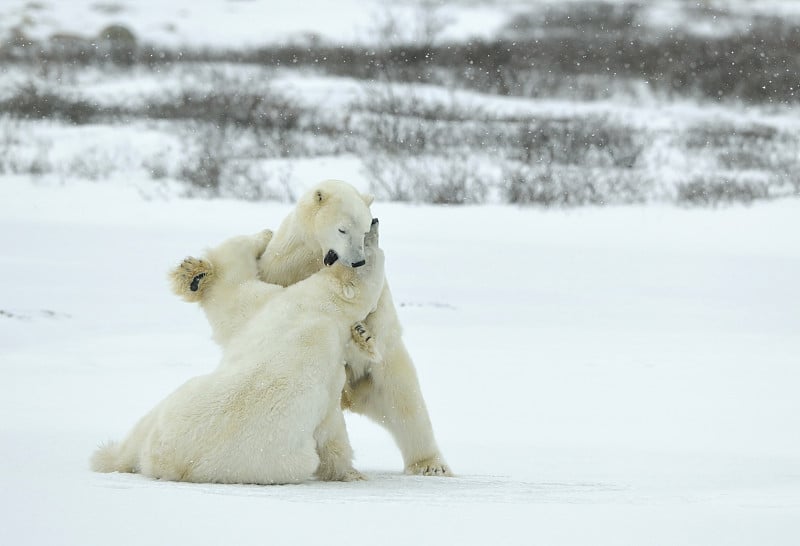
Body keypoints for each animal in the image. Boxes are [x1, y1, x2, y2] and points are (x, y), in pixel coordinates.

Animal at [90, 219, 384, 482]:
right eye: (365, 251)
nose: (375, 222)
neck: (323, 306)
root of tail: (160, 460)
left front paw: (364, 336)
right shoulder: (296, 313)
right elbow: (331, 430)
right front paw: (351, 473)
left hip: (174, 404)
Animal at [260, 177, 454, 472]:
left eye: (364, 231)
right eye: (342, 229)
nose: (358, 260)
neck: (316, 258)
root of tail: (353, 397)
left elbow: (373, 309)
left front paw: (361, 333)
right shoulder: (285, 264)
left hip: (385, 373)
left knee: (408, 407)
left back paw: (431, 465)